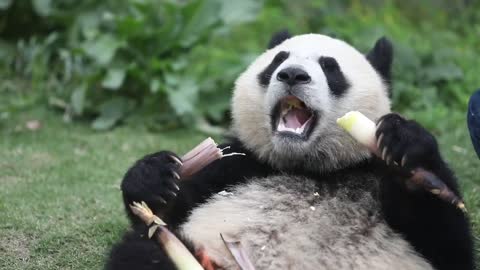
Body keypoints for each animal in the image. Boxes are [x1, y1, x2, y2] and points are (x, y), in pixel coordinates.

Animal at [105, 32, 472, 270]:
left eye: (330, 67)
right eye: (277, 62)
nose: (293, 74)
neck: (309, 166)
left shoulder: (370, 168)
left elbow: (450, 245)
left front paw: (405, 148)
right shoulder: (238, 164)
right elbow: (162, 217)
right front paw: (154, 178)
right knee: (145, 252)